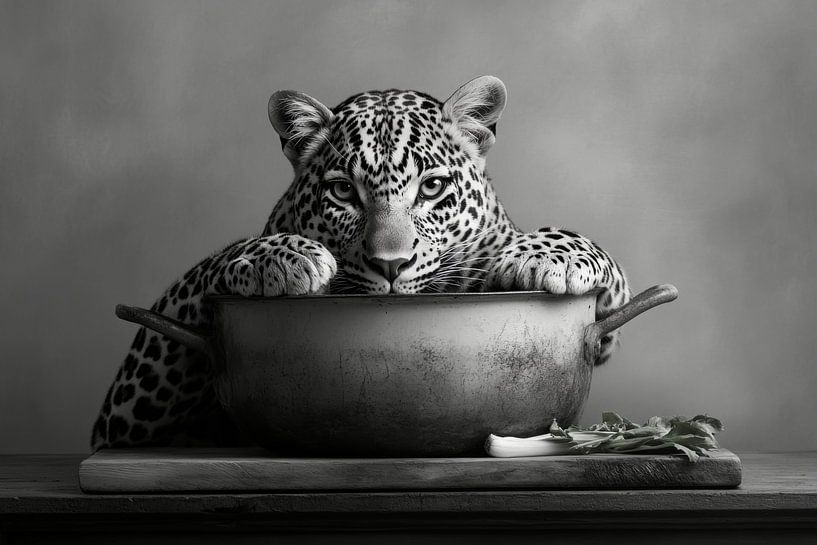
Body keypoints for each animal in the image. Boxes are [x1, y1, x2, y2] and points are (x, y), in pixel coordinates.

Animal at [90, 76, 631, 450]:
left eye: (432, 187)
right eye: (343, 191)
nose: (390, 264)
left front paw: (546, 255)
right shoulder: (118, 426)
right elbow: (210, 264)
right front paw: (283, 257)